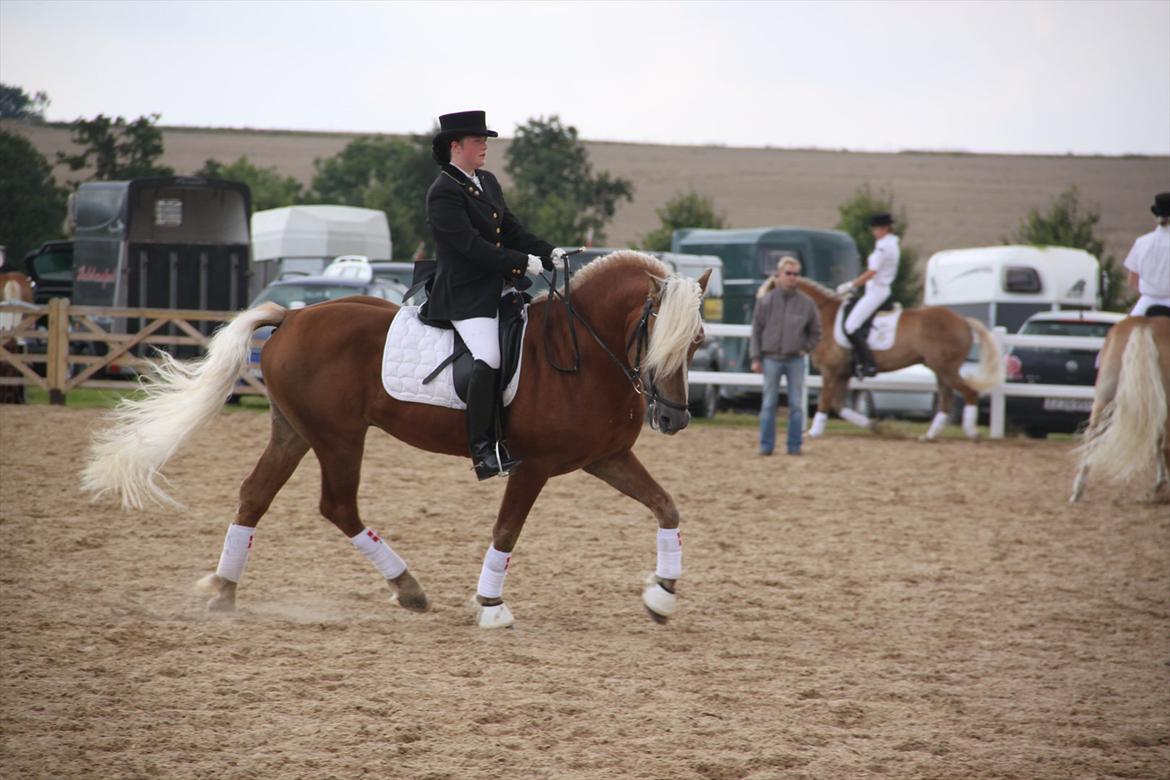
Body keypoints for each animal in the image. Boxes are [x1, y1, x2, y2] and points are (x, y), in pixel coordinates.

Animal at [84, 253, 711, 631]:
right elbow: (507, 530)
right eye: (661, 332)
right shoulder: (533, 466)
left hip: (294, 431)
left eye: (699, 340)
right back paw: (408, 588)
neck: (579, 354)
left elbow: (667, 506)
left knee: (254, 495)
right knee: (337, 506)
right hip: (338, 436)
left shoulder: (606, 457)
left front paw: (662, 594)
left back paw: (224, 591)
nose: (673, 418)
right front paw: (491, 607)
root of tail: (292, 317)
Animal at [795, 279, 1006, 439]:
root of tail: (963, 320)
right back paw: (930, 435)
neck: (826, 317)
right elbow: (839, 406)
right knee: (946, 400)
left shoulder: (830, 372)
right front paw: (876, 425)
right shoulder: (842, 374)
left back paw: (971, 432)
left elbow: (825, 401)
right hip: (941, 371)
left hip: (946, 369)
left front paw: (813, 432)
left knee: (969, 392)